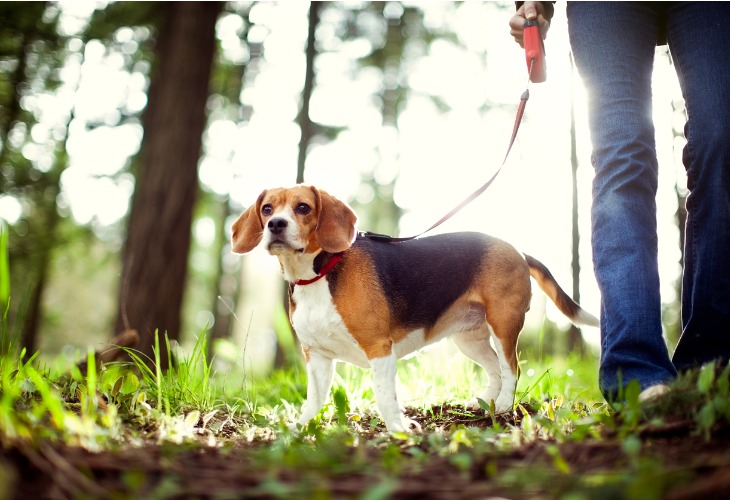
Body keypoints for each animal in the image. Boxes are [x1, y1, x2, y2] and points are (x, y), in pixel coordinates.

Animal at [233, 186, 596, 432]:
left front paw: (398, 430)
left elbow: (385, 396)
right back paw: (486, 404)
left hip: (503, 324)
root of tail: (518, 250)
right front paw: (301, 427)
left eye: (303, 207)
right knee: (495, 369)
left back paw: (505, 404)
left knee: (511, 369)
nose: (276, 225)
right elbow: (314, 399)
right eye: (267, 208)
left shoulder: (379, 349)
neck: (319, 273)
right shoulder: (317, 356)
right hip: (470, 339)